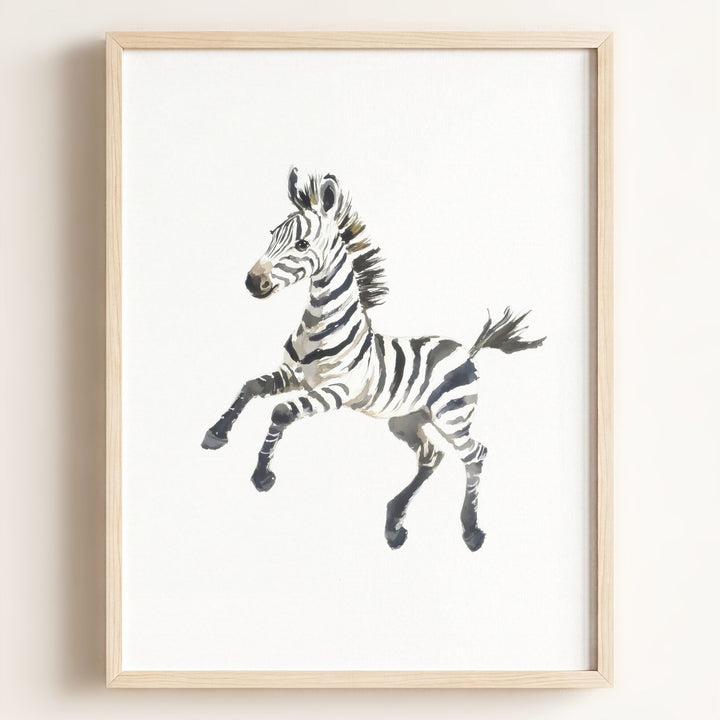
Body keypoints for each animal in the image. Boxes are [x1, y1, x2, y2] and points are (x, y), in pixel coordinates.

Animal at [202, 168, 545, 551]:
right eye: (273, 235)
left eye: (302, 245)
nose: (253, 281)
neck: (318, 324)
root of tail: (467, 350)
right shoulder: (294, 375)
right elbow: (250, 386)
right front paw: (216, 432)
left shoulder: (337, 390)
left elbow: (281, 412)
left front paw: (263, 474)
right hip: (406, 421)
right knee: (432, 457)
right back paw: (395, 523)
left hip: (452, 416)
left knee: (476, 454)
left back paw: (470, 530)